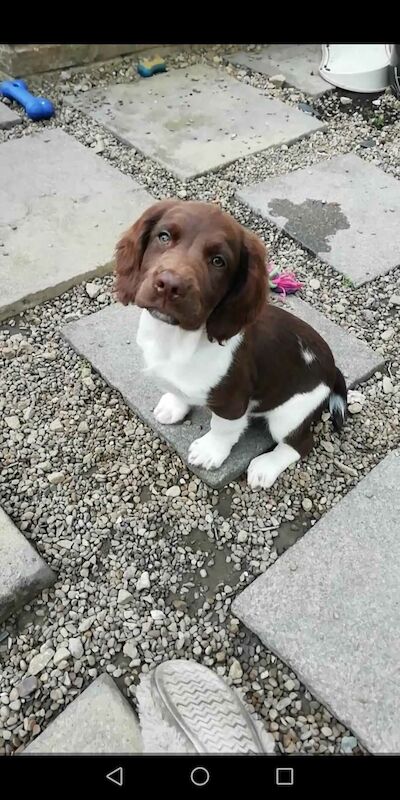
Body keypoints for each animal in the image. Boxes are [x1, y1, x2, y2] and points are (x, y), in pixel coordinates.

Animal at [114, 200, 346, 488]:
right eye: (164, 237)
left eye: (218, 261)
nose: (169, 285)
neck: (178, 338)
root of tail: (332, 369)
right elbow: (179, 391)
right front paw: (174, 406)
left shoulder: (232, 402)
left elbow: (222, 429)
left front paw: (209, 451)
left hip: (291, 414)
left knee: (300, 444)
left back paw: (265, 467)